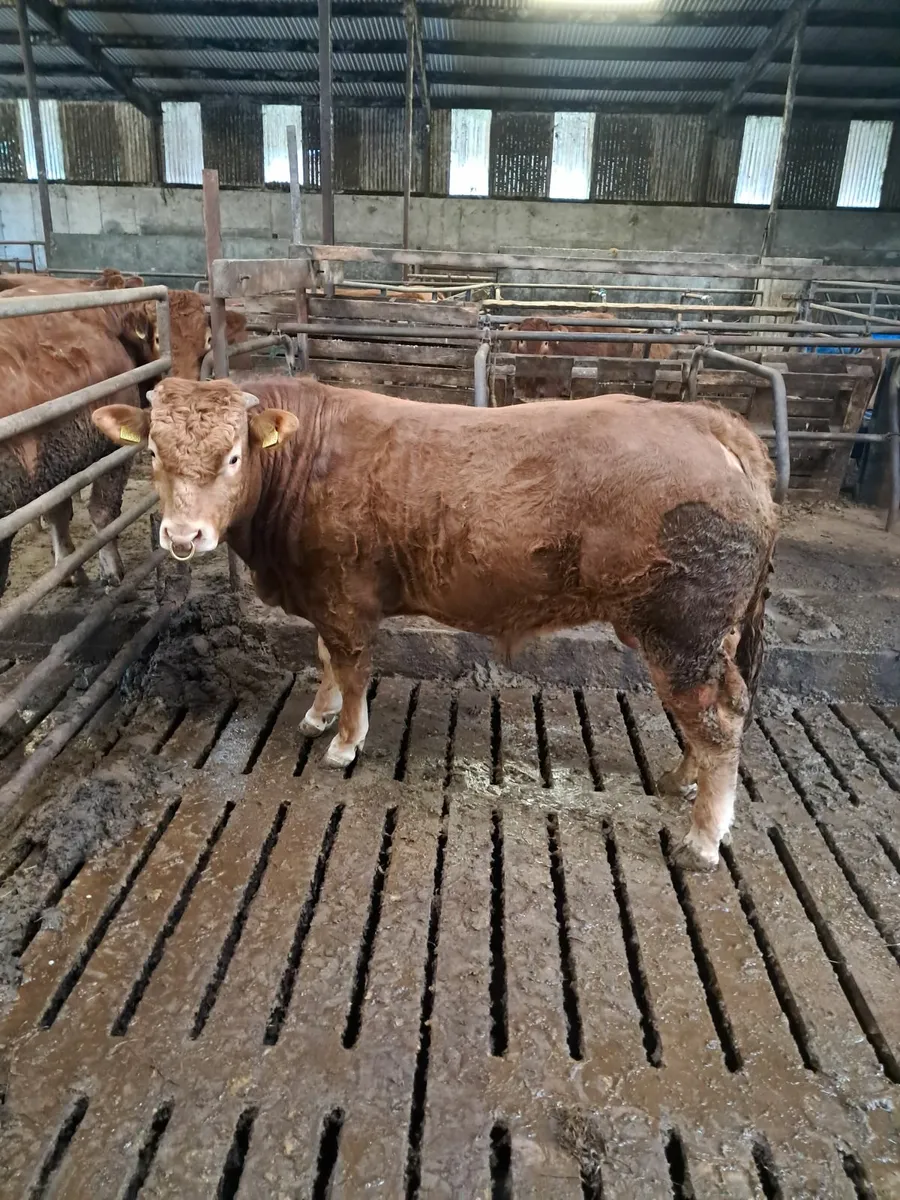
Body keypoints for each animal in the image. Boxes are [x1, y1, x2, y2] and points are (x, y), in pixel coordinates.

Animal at [0, 303, 153, 596]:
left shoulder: (52, 464)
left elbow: (58, 513)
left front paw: (70, 570)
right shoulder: (113, 450)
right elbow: (104, 511)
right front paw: (111, 571)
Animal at [92, 375, 777, 872]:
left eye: (233, 456)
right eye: (152, 451)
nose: (183, 536)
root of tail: (701, 420)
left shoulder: (342, 597)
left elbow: (350, 665)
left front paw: (344, 741)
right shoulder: (319, 595)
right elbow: (323, 658)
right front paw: (317, 715)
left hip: (681, 633)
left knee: (718, 723)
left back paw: (701, 841)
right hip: (703, 639)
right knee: (713, 714)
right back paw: (679, 778)